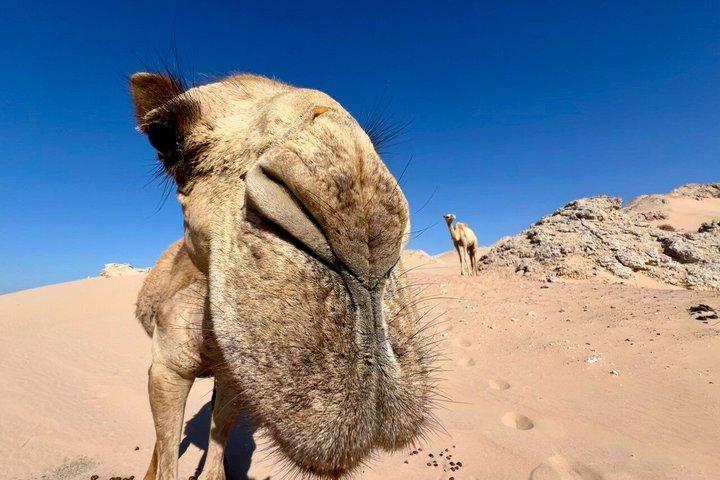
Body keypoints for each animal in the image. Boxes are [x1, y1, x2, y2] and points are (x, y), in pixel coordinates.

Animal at [130, 72, 434, 480]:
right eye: (164, 137)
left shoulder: (233, 378)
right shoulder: (166, 369)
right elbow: (168, 461)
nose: (366, 229)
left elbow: (216, 451)